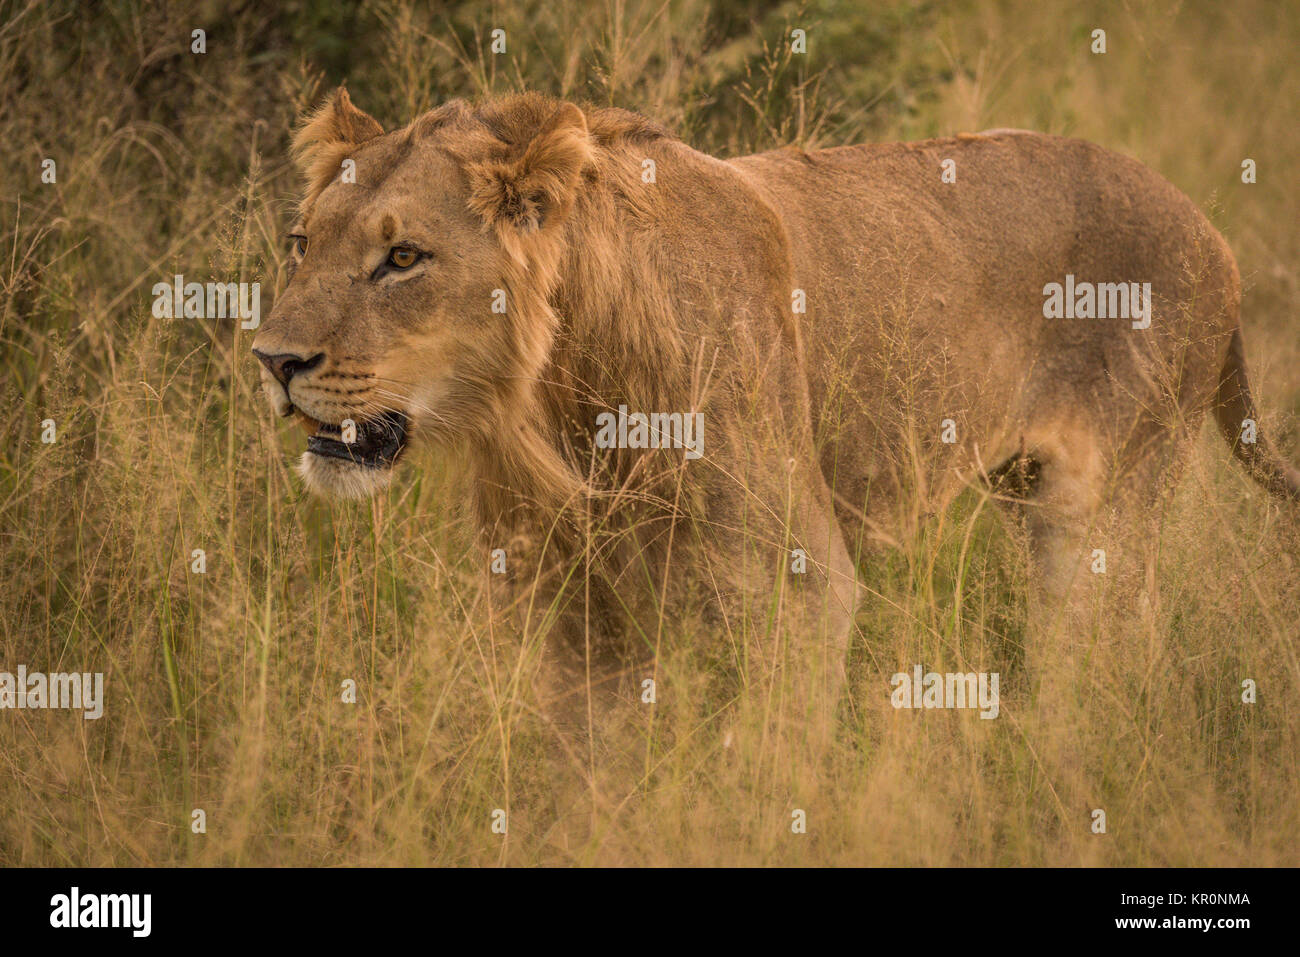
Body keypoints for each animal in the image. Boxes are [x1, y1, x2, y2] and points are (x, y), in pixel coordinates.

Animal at [250, 85, 1289, 738]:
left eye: (403, 259)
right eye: (302, 242)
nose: (273, 361)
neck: (557, 406)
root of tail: (1210, 228)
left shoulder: (798, 585)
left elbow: (762, 762)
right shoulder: (568, 602)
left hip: (1097, 516)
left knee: (1102, 664)